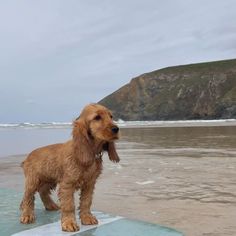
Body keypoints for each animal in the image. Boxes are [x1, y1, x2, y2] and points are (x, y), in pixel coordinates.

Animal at [19, 103, 120, 232]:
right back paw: (27, 215)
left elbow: (86, 202)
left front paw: (87, 218)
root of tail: (27, 157)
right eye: (97, 117)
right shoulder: (67, 184)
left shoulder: (89, 184)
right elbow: (69, 205)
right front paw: (69, 223)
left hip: (49, 179)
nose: (116, 129)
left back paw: (50, 205)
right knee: (28, 197)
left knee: (43, 192)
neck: (91, 153)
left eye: (111, 116)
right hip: (33, 180)